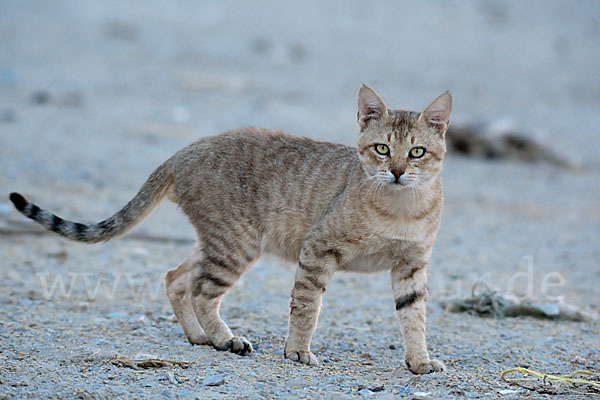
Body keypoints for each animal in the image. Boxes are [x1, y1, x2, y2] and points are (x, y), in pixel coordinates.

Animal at [9, 85, 450, 376]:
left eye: (416, 152)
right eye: (381, 149)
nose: (397, 171)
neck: (401, 209)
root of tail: (182, 151)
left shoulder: (412, 266)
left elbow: (414, 316)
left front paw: (419, 360)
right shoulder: (317, 248)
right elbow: (306, 307)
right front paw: (297, 351)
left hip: (219, 241)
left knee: (175, 278)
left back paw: (199, 337)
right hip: (237, 243)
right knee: (202, 289)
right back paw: (225, 338)